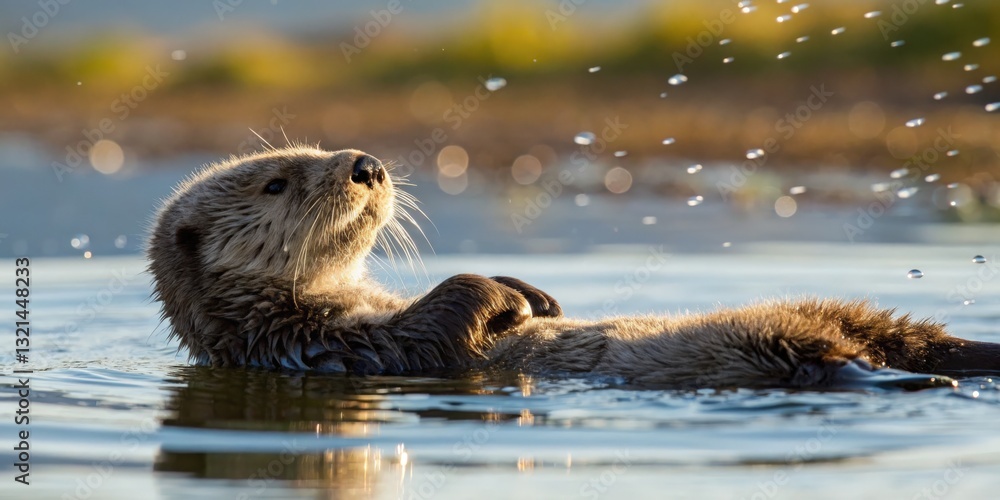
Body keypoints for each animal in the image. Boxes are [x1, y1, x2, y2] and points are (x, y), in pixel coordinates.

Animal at [148, 146, 1000, 389]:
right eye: (277, 181)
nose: (365, 164)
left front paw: (532, 295)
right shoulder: (335, 348)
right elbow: (435, 330)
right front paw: (498, 296)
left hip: (850, 311)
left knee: (893, 332)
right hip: (767, 343)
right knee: (830, 359)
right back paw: (907, 379)